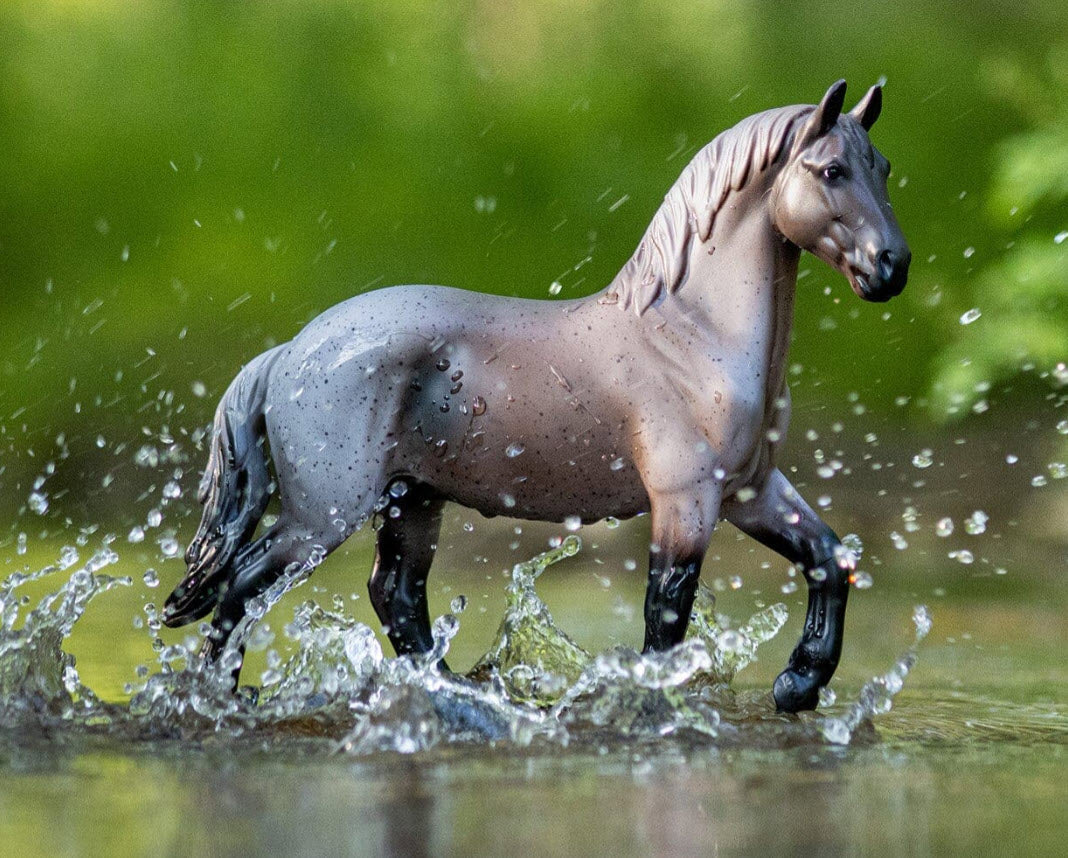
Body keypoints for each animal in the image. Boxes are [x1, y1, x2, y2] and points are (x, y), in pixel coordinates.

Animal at [162, 79, 905, 709]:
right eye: (832, 171)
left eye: (885, 168)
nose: (891, 266)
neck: (690, 337)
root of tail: (291, 352)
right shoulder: (686, 502)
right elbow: (666, 611)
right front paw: (652, 701)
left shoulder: (750, 490)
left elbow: (829, 559)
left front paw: (798, 684)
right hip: (322, 518)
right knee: (243, 587)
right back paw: (223, 699)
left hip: (411, 500)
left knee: (395, 595)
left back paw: (459, 693)